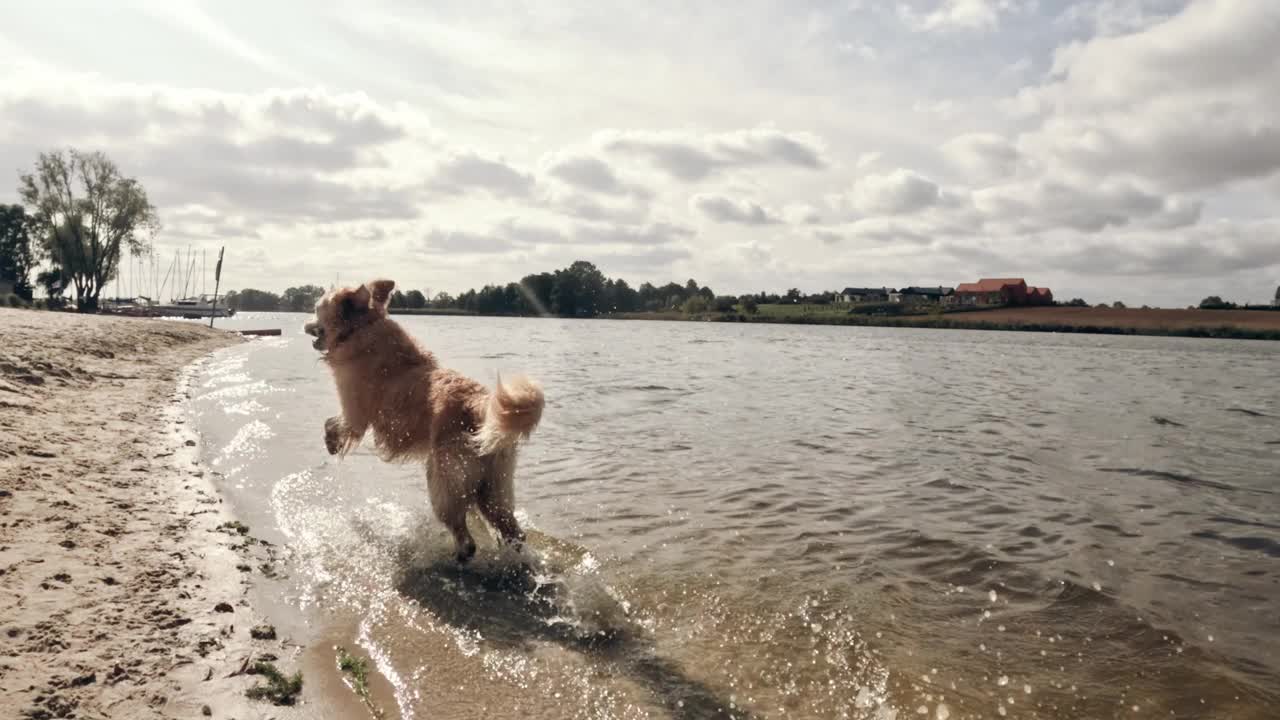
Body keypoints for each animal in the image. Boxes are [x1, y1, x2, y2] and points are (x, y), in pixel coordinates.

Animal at [304, 278, 545, 563]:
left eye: (317, 308)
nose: (305, 324)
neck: (362, 328)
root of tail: (479, 404)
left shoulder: (355, 414)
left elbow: (332, 423)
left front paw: (331, 443)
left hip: (444, 479)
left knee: (465, 538)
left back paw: (455, 557)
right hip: (495, 487)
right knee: (513, 532)